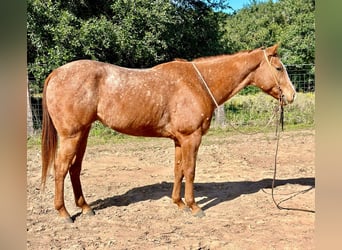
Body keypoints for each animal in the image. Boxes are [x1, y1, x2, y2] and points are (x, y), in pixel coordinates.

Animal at [41, 44, 296, 222]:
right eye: (278, 68)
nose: (292, 95)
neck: (197, 83)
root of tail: (56, 73)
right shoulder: (191, 138)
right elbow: (190, 171)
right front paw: (194, 207)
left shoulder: (179, 140)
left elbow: (178, 170)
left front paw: (179, 203)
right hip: (71, 135)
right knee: (61, 169)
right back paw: (64, 213)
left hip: (83, 134)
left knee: (74, 169)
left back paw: (85, 208)